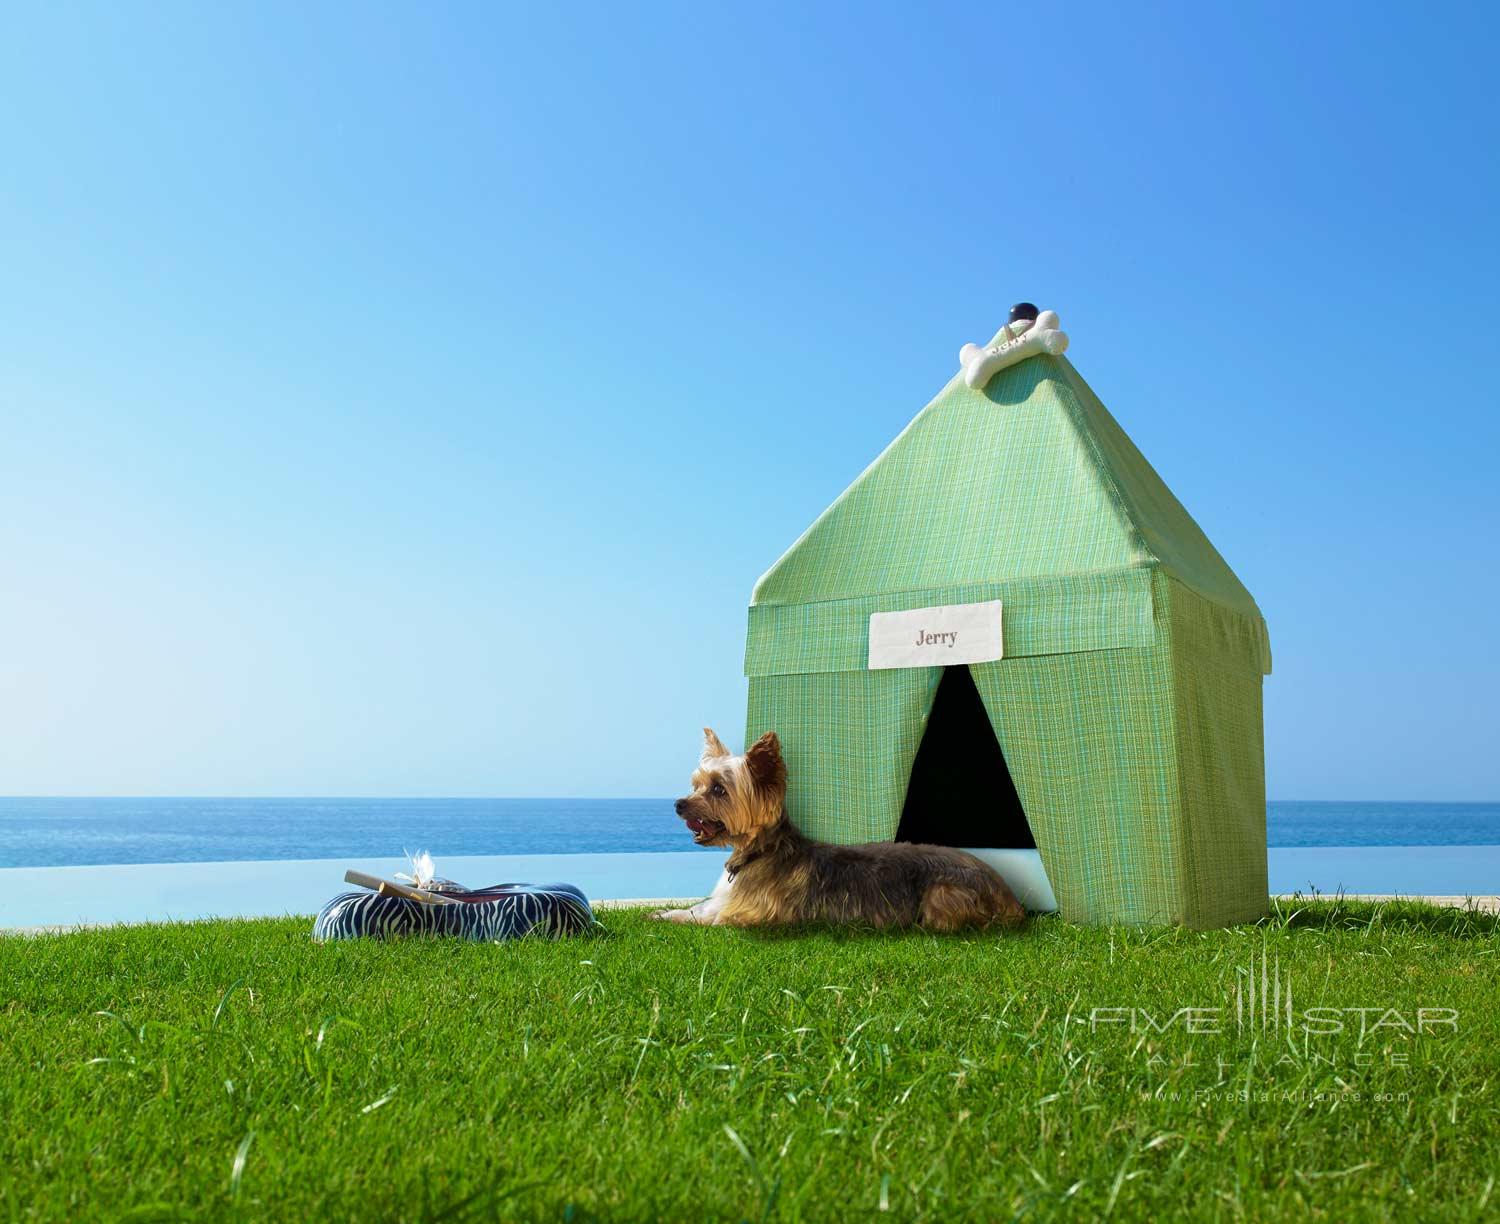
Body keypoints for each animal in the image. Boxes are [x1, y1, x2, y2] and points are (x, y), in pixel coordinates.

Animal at [657, 726, 1032, 930]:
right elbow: (701, 907)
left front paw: (671, 916)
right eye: (697, 785)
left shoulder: (745, 915)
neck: (760, 850)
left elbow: (709, 918)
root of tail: (1009, 895)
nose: (678, 804)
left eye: (719, 789)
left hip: (941, 895)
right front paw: (667, 912)